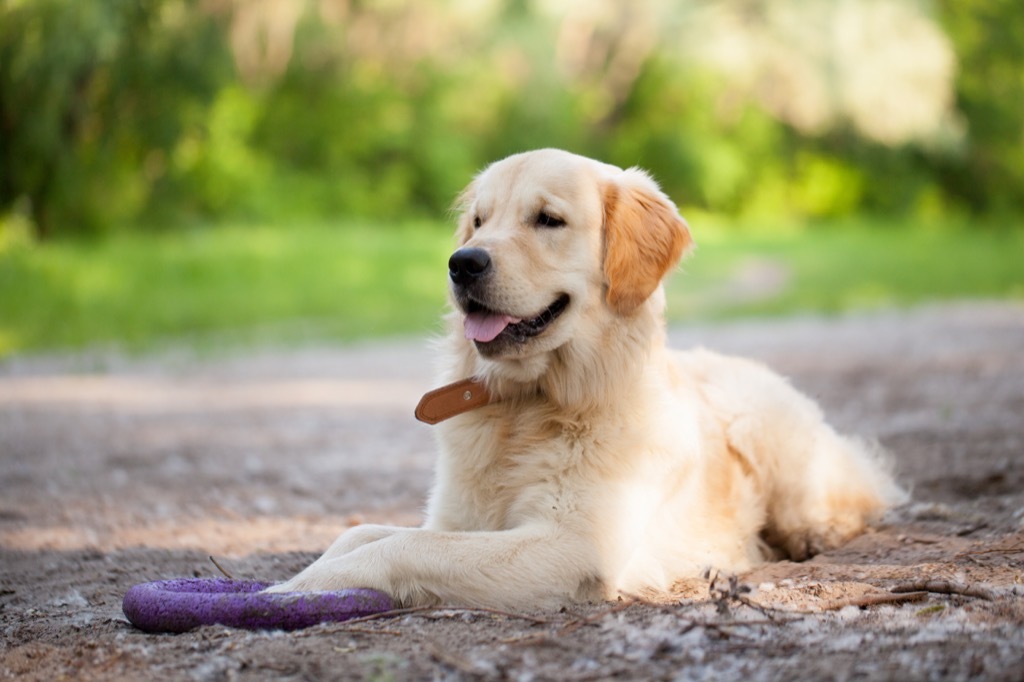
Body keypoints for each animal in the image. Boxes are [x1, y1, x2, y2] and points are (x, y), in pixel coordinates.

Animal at [272, 147, 905, 606]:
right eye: (479, 221)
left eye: (548, 220)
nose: (462, 263)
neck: (528, 404)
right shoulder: (456, 516)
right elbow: (363, 534)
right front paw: (308, 574)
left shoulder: (574, 545)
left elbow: (405, 547)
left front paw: (290, 591)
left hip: (766, 429)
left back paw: (817, 533)